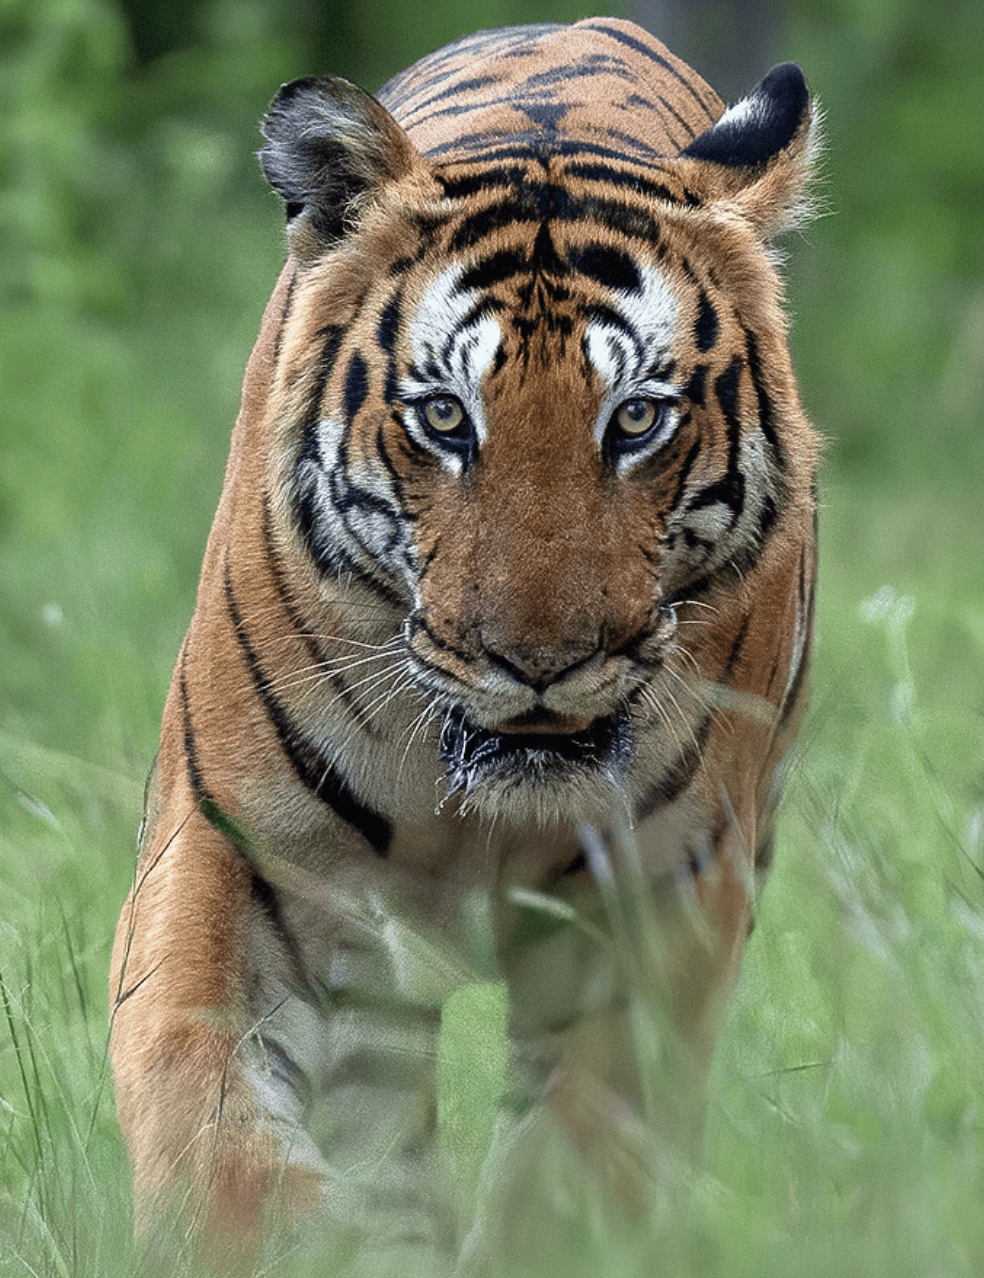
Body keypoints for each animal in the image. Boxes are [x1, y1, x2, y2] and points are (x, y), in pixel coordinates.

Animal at [107, 17, 817, 1267]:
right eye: (445, 417)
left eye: (637, 419)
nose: (538, 664)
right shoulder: (231, 851)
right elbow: (205, 1115)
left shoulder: (659, 897)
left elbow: (576, 1164)